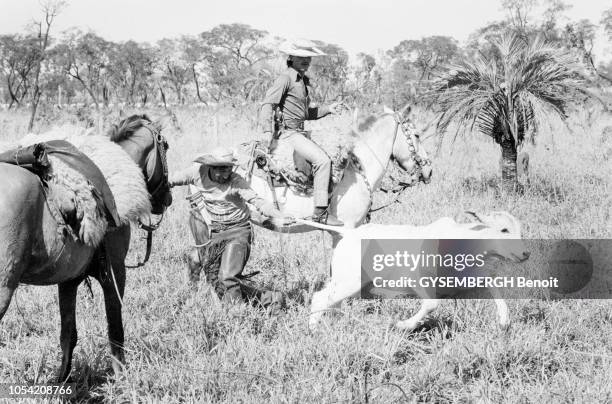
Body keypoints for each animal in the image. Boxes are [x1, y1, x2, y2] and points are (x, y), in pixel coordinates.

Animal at [0, 114, 172, 382]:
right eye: (166, 147)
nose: (167, 199)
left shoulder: (68, 281)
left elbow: (68, 335)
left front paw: (62, 381)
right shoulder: (115, 272)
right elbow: (115, 328)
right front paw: (121, 377)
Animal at [306, 211, 532, 332]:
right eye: (504, 229)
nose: (525, 253)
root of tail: (349, 232)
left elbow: (496, 292)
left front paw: (504, 321)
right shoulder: (417, 278)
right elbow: (431, 304)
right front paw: (403, 325)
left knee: (332, 302)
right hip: (350, 281)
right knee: (320, 298)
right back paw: (314, 329)